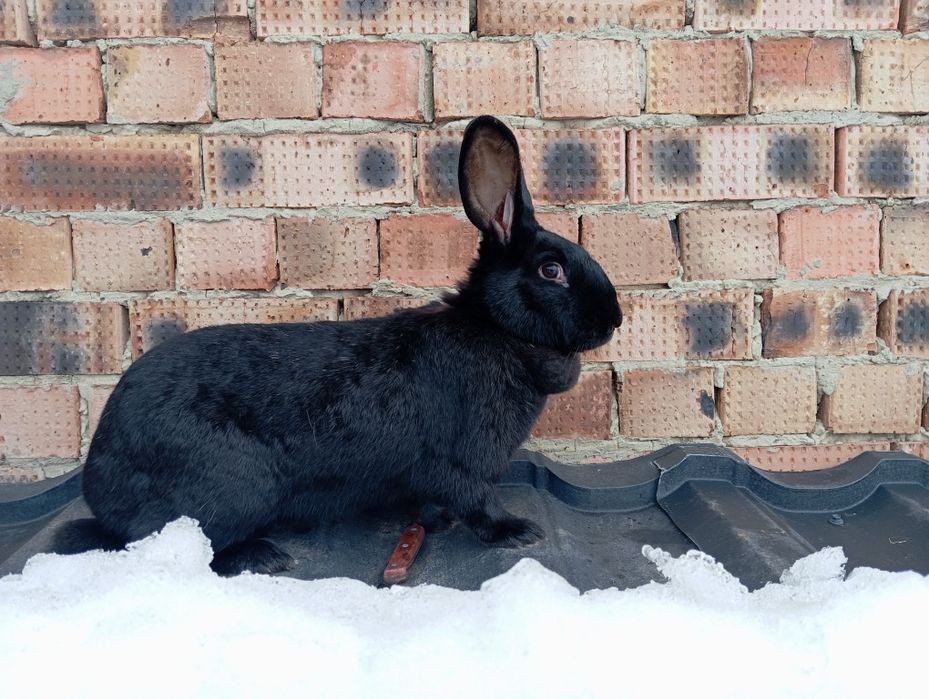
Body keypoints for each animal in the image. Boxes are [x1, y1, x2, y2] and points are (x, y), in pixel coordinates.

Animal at [80, 116, 623, 576]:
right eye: (551, 271)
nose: (614, 320)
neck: (497, 329)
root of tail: (99, 480)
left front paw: (439, 521)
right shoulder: (463, 462)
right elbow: (476, 501)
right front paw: (517, 532)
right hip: (233, 488)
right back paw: (263, 556)